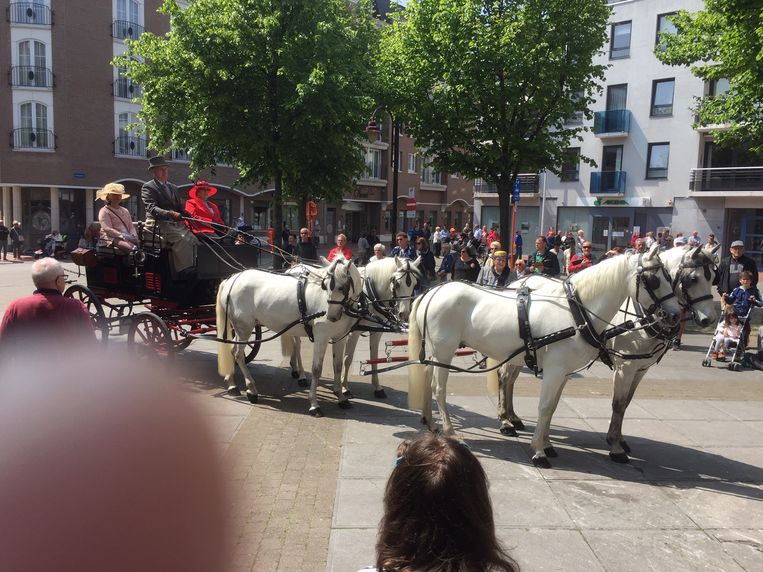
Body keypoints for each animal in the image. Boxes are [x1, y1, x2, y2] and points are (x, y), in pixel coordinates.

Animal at [216, 256, 362, 416]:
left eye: (342, 288)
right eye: (325, 286)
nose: (331, 317)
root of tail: (232, 279)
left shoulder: (339, 337)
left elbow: (338, 366)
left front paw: (341, 397)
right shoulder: (321, 337)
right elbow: (317, 369)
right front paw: (314, 403)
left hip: (241, 329)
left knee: (232, 351)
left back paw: (232, 384)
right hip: (244, 328)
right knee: (238, 354)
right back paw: (251, 389)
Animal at [332, 256, 424, 400]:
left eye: (415, 285)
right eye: (397, 283)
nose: (404, 314)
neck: (369, 296)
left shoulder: (376, 331)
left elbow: (374, 358)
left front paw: (378, 388)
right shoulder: (354, 332)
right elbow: (348, 359)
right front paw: (345, 387)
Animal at [408, 244, 684, 466]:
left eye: (670, 277)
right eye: (654, 280)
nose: (674, 316)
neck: (576, 311)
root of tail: (431, 292)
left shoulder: (564, 372)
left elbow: (552, 407)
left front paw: (547, 444)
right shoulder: (555, 370)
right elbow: (545, 406)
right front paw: (539, 451)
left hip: (435, 352)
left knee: (428, 378)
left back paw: (431, 423)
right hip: (444, 350)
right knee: (439, 388)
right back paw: (450, 431)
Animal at [492, 244, 720, 462]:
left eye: (713, 278)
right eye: (693, 278)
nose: (709, 319)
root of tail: (518, 282)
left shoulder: (641, 368)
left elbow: (626, 403)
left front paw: (619, 439)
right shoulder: (625, 366)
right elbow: (618, 404)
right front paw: (616, 446)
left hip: (523, 354)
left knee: (511, 380)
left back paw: (513, 417)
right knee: (505, 378)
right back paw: (505, 421)